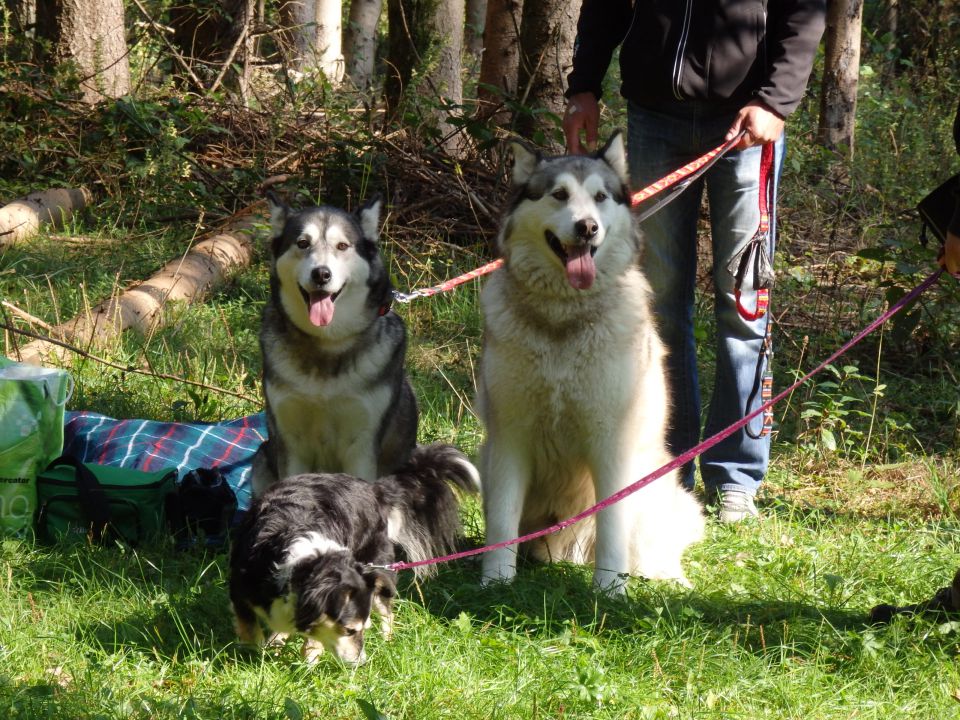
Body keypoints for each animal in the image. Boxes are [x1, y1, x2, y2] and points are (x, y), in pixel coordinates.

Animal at [478, 135, 704, 592]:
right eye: (559, 195)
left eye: (600, 197)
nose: (587, 227)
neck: (564, 315)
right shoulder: (510, 436)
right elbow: (503, 522)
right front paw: (496, 580)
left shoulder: (611, 440)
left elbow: (612, 523)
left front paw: (609, 589)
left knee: (651, 548)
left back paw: (664, 577)